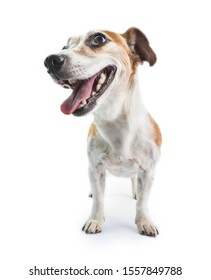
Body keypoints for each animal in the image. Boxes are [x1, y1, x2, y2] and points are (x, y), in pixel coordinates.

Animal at [43, 27, 161, 236]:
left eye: (99, 39)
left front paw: (144, 221)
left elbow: (143, 201)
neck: (115, 124)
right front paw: (95, 220)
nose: (50, 60)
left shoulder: (148, 172)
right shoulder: (95, 168)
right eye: (65, 46)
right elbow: (99, 198)